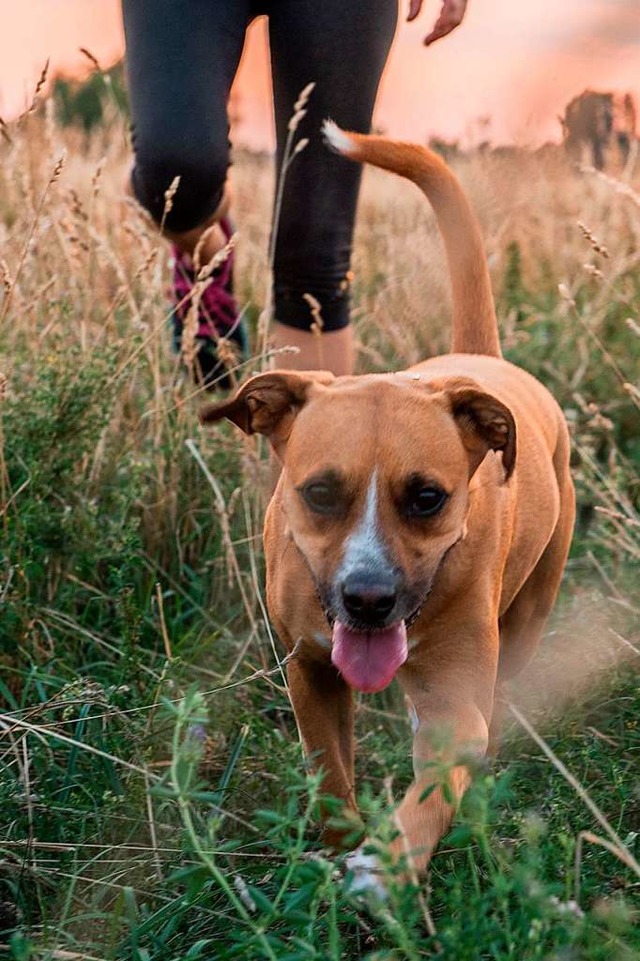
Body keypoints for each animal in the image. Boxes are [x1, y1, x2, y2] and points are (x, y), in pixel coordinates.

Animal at [201, 122, 576, 892]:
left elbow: (436, 782)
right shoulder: (309, 670)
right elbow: (327, 768)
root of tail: (482, 359)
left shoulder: (455, 703)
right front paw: (341, 842)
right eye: (319, 491)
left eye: (428, 497)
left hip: (530, 611)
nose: (368, 599)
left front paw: (387, 862)